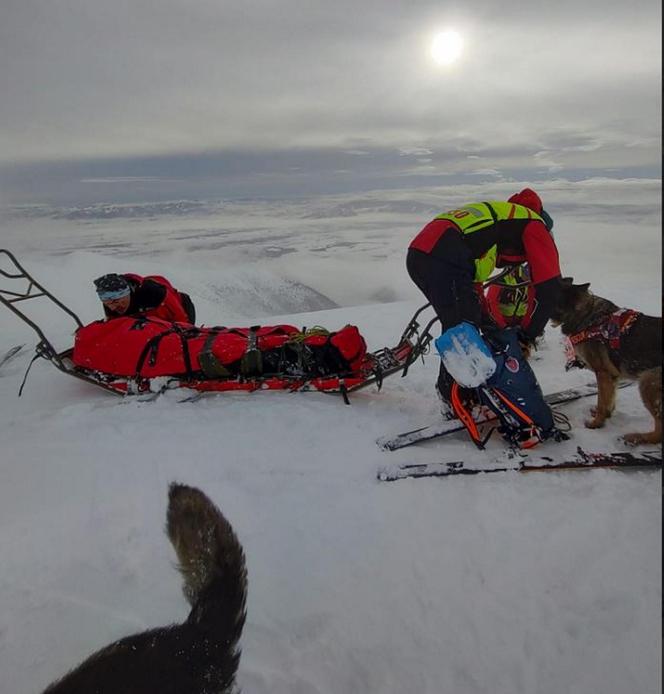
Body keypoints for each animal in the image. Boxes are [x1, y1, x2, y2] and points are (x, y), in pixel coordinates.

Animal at [548, 278, 664, 446]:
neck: (585, 314)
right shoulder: (612, 376)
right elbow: (608, 400)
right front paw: (605, 415)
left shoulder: (602, 373)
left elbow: (602, 401)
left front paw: (596, 423)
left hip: (647, 382)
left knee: (659, 433)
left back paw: (636, 437)